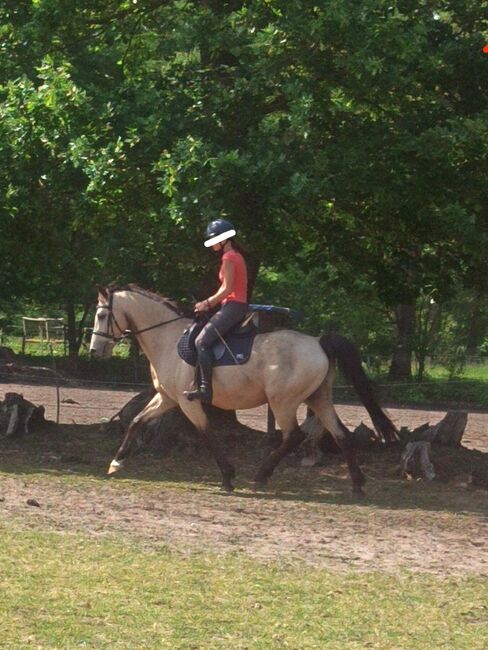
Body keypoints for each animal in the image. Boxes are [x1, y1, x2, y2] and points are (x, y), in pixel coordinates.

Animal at [89, 280, 398, 494]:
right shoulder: (167, 398)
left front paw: (227, 477)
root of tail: (318, 341)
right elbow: (137, 422)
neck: (167, 338)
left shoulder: (188, 402)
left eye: (102, 315)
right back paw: (357, 484)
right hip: (318, 398)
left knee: (294, 436)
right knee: (341, 435)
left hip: (283, 402)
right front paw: (117, 462)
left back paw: (261, 476)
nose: (94, 350)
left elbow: (207, 435)